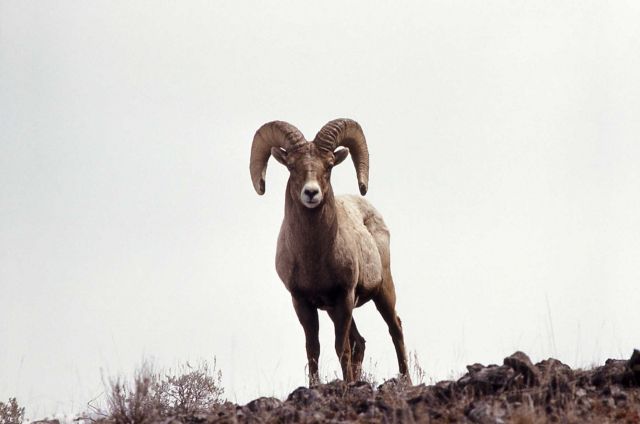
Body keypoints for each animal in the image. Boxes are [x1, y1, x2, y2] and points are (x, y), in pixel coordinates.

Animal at [250, 119, 410, 384]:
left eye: (329, 165)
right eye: (291, 166)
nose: (311, 193)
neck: (314, 258)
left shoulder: (343, 297)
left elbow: (340, 348)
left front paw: (347, 385)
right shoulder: (303, 302)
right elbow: (313, 349)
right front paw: (316, 385)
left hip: (382, 291)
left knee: (394, 328)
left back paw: (406, 379)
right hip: (338, 310)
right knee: (360, 343)